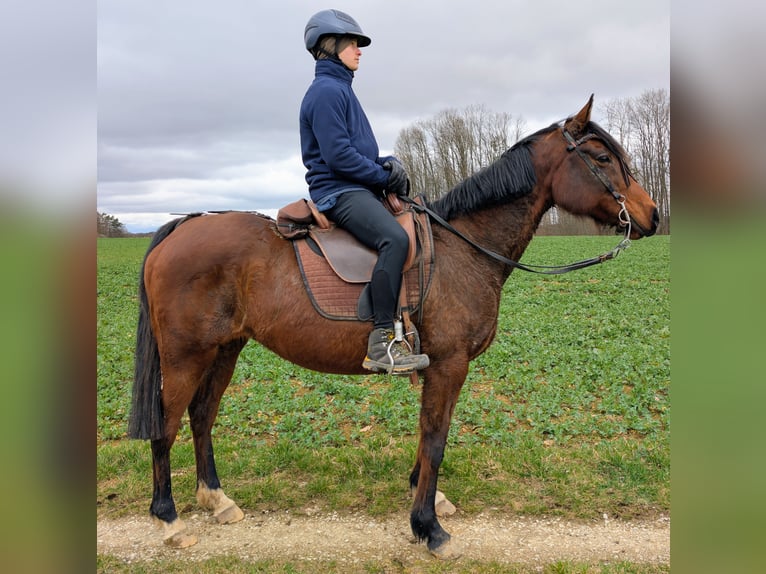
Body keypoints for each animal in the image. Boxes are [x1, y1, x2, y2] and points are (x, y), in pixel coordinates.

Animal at [128, 96, 659, 558]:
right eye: (601, 157)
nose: (652, 215)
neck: (463, 248)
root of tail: (183, 225)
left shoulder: (438, 367)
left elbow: (428, 437)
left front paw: (426, 499)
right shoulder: (449, 364)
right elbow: (437, 440)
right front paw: (428, 527)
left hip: (225, 349)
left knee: (201, 417)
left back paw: (216, 499)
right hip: (186, 355)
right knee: (167, 426)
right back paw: (168, 519)